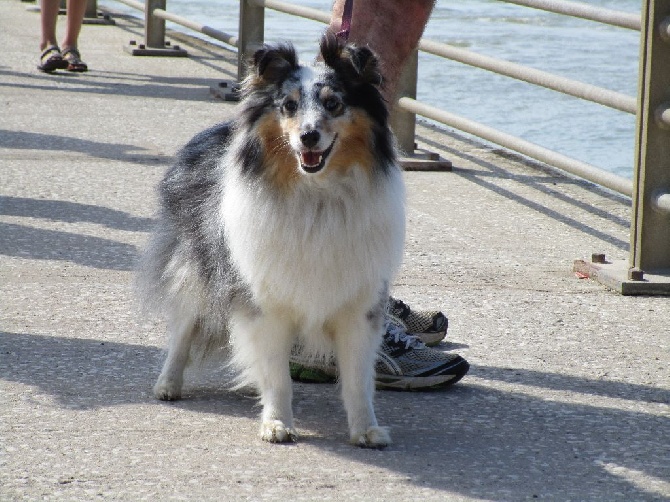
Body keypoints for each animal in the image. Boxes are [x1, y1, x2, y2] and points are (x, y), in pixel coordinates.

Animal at [138, 33, 404, 446]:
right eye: (289, 105)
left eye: (333, 102)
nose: (308, 136)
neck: (316, 195)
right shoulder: (264, 302)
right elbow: (277, 374)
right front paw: (277, 423)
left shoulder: (359, 304)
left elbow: (358, 380)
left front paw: (366, 429)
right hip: (198, 270)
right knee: (183, 328)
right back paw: (168, 385)